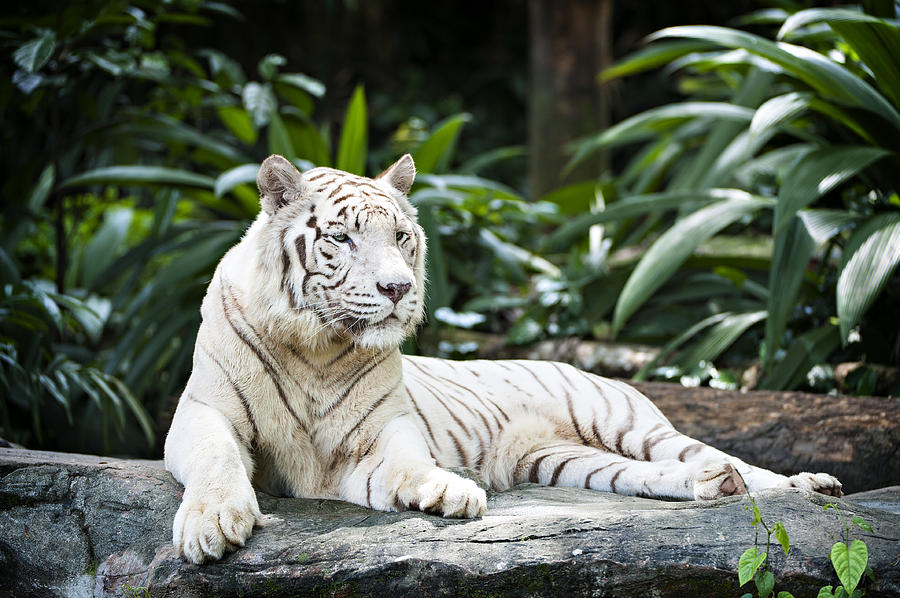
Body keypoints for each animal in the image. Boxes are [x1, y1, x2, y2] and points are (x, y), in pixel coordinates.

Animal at [163, 155, 844, 568]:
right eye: (342, 238)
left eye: (400, 237)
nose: (397, 288)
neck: (318, 347)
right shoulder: (202, 411)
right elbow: (217, 457)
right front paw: (211, 524)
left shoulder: (378, 433)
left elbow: (408, 461)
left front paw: (445, 492)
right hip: (569, 463)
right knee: (673, 475)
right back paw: (709, 486)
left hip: (629, 424)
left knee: (729, 461)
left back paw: (807, 485)